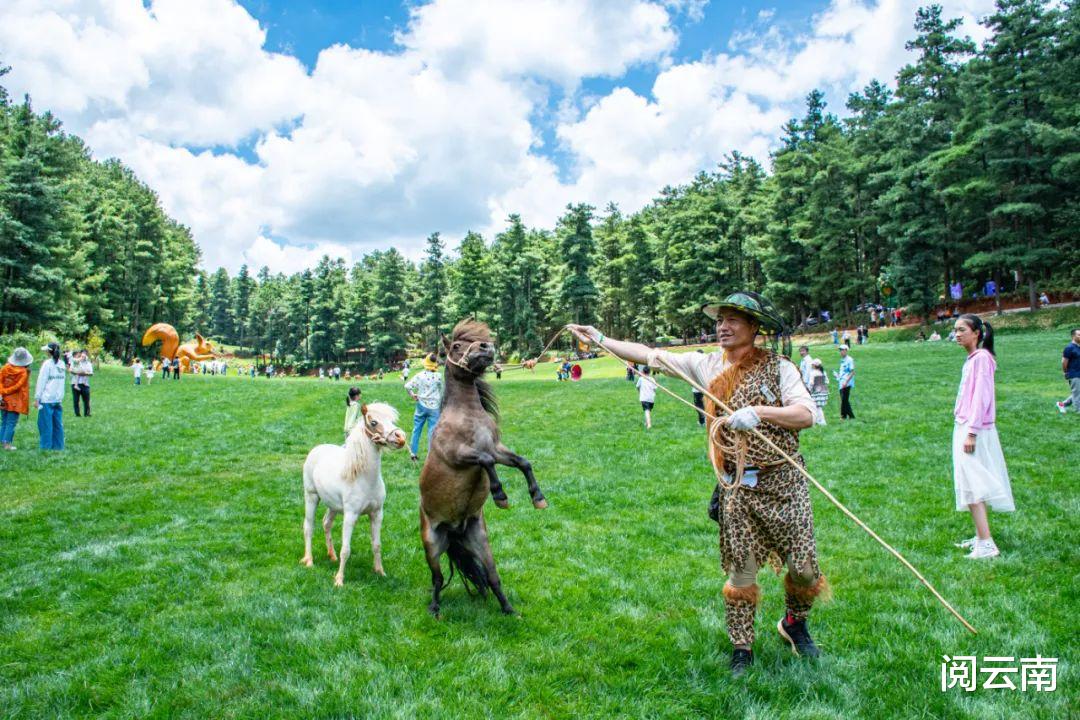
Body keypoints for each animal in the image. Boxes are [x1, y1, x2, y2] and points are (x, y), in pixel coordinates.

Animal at [300, 403, 406, 587]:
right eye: (373, 422)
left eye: (392, 420)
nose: (400, 438)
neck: (364, 479)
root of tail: (316, 449)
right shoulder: (350, 515)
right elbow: (346, 549)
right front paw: (339, 580)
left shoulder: (377, 514)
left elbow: (377, 545)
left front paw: (380, 572)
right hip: (311, 497)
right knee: (309, 527)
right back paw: (309, 561)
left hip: (333, 506)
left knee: (326, 523)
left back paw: (332, 556)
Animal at [414, 321, 544, 621]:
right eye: (457, 346)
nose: (486, 348)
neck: (467, 416)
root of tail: (453, 531)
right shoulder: (460, 456)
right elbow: (486, 462)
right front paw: (500, 495)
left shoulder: (497, 448)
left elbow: (522, 462)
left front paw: (537, 497)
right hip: (432, 545)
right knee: (437, 579)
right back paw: (435, 609)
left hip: (480, 541)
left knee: (493, 577)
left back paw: (509, 610)